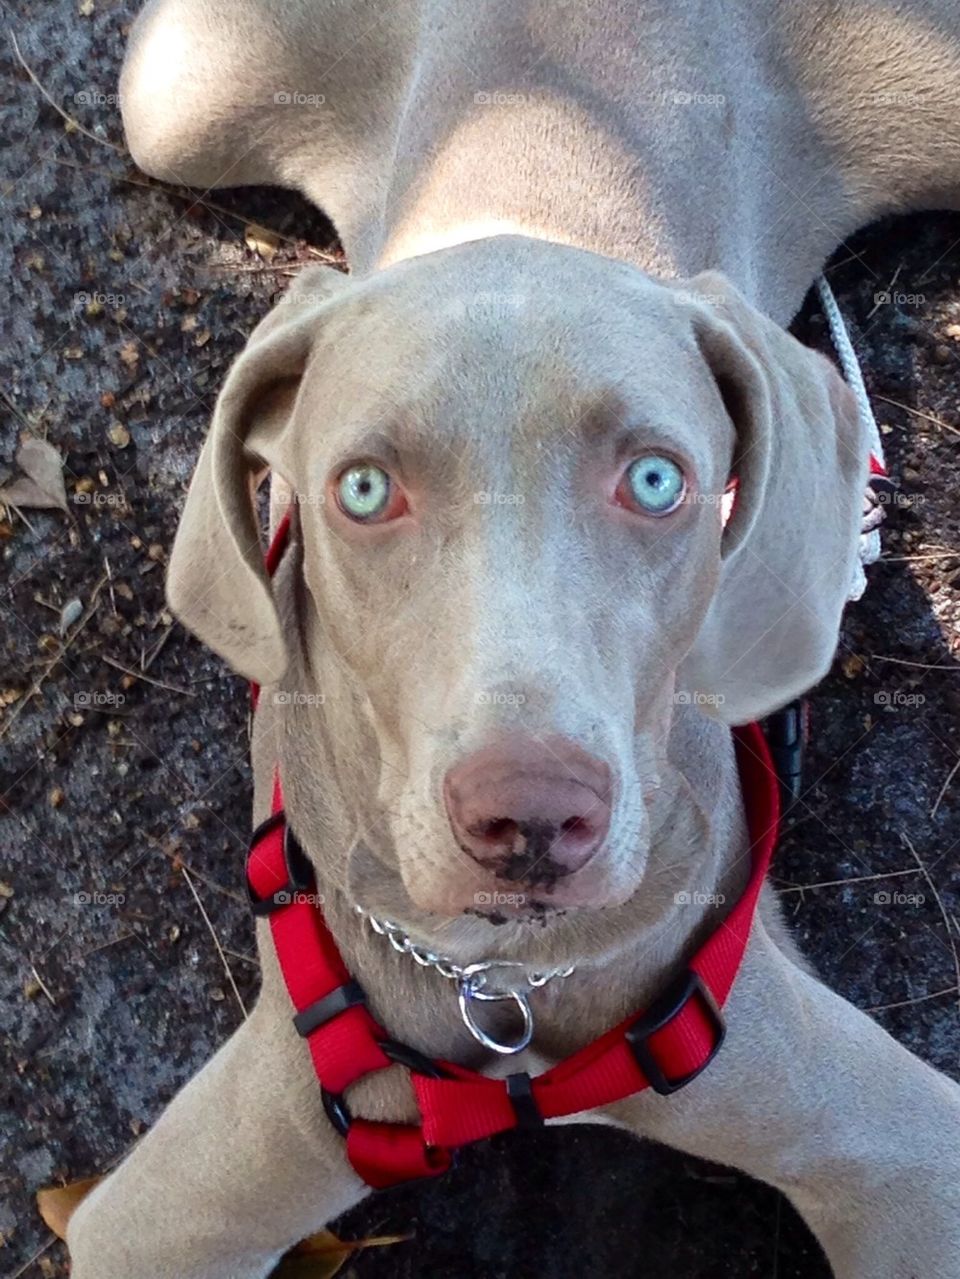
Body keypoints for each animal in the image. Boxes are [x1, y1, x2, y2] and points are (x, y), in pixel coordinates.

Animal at [67, 2, 960, 1279]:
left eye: (657, 480)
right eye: (363, 488)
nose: (532, 818)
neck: (506, 987)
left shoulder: (907, 1158)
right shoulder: (156, 1218)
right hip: (178, 101)